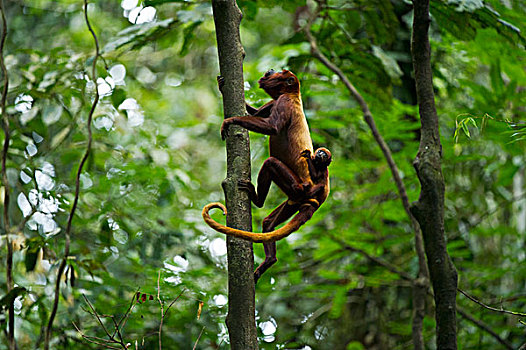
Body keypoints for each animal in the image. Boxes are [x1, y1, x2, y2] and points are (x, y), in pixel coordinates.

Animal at [204, 147, 332, 282]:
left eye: (324, 155)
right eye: (321, 152)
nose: (320, 154)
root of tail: (313, 207)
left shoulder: (322, 169)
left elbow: (316, 176)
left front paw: (308, 158)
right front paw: (309, 157)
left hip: (302, 196)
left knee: (271, 163)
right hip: (293, 203)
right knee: (268, 223)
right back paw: (270, 259)